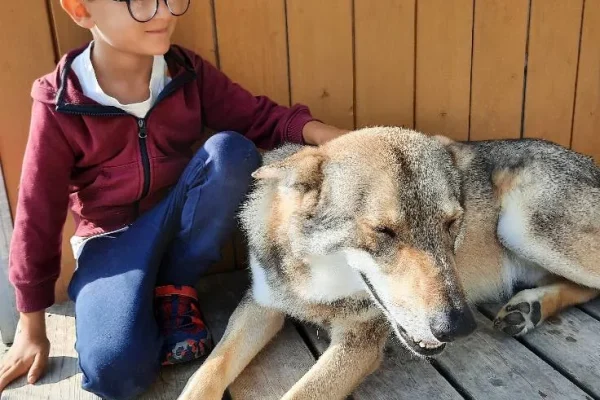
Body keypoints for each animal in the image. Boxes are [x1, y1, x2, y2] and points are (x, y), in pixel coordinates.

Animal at [178, 126, 600, 398]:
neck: (314, 283)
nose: (459, 327)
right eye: (384, 231)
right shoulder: (261, 306)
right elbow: (206, 373)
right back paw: (528, 308)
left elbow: (301, 393)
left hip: (524, 229)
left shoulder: (359, 344)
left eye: (452, 224)